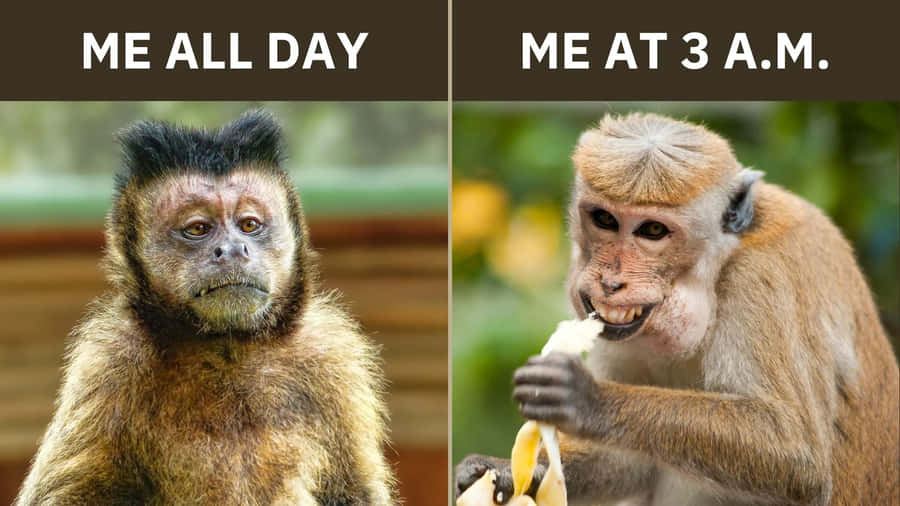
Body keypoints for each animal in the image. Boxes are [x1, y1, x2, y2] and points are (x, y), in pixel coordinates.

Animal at [16, 111, 395, 505]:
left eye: (249, 225)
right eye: (198, 228)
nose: (232, 249)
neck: (227, 347)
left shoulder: (331, 358)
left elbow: (356, 491)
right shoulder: (108, 364)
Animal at [456, 113, 899, 505]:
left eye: (653, 230)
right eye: (604, 219)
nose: (610, 282)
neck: (719, 267)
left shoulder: (762, 282)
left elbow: (796, 452)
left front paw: (587, 398)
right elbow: (629, 461)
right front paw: (502, 472)